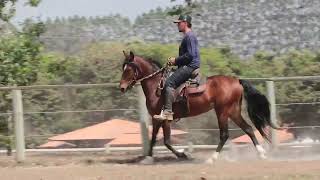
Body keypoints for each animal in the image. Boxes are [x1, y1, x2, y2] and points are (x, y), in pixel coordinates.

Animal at [119, 50, 278, 165]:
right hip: (233, 111)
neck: (157, 86)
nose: (121, 88)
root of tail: (236, 81)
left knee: (224, 135)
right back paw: (261, 154)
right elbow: (153, 139)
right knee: (248, 128)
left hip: (222, 112)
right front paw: (148, 158)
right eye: (123, 68)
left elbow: (167, 142)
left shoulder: (165, 119)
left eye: (128, 70)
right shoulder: (157, 118)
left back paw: (212, 159)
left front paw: (184, 155)